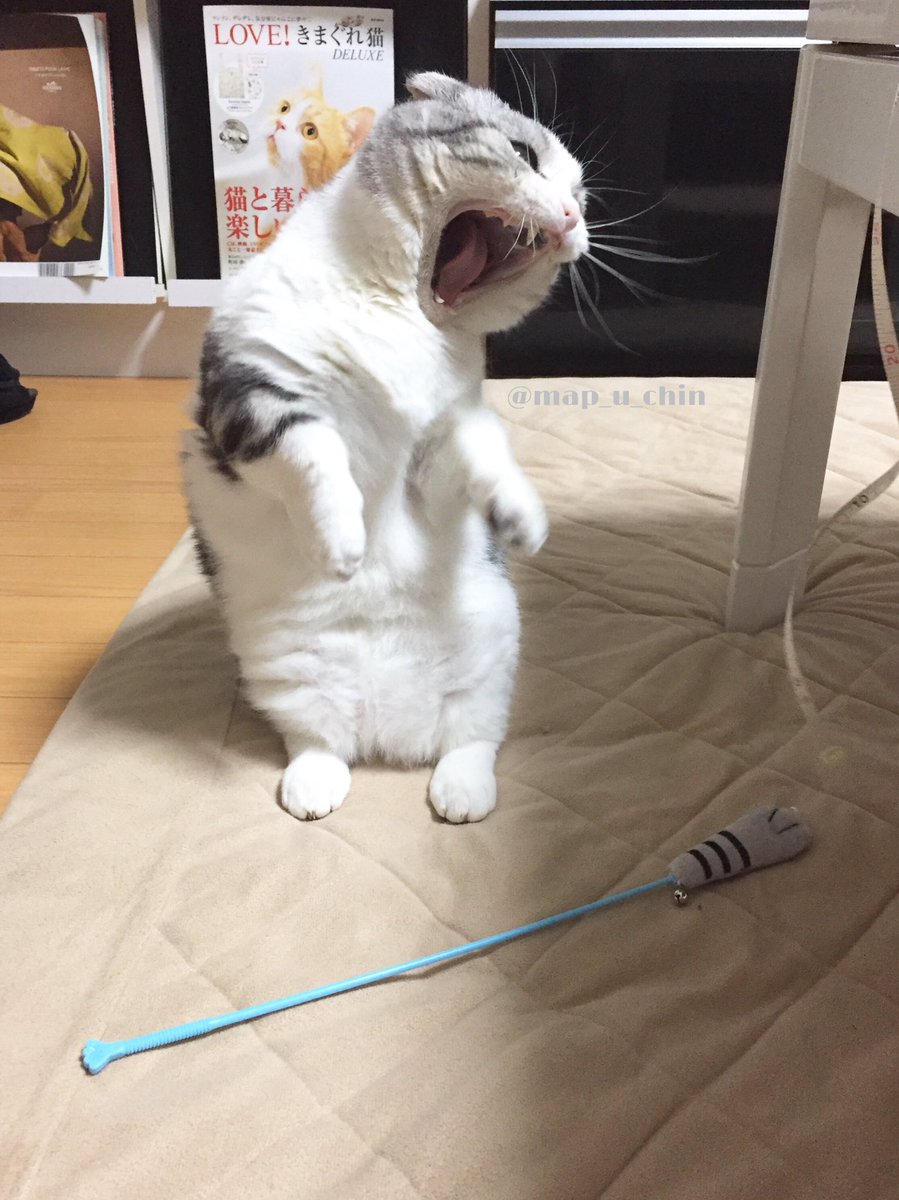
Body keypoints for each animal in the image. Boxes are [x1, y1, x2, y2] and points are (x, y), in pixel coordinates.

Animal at [182, 71, 588, 824]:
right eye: (523, 153)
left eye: (583, 196)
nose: (575, 219)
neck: (404, 313)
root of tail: (390, 736)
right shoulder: (253, 396)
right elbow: (318, 458)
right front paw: (343, 545)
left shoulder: (447, 430)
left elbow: (488, 456)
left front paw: (522, 520)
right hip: (284, 677)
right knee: (319, 743)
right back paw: (314, 786)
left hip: (492, 655)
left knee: (472, 740)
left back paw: (461, 793)